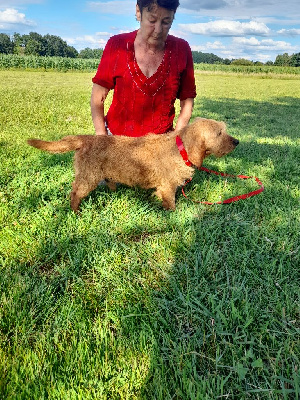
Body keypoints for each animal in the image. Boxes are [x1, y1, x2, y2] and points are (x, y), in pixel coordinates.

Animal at [28, 118, 239, 212]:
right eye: (219, 133)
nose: (237, 142)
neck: (180, 147)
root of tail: (84, 139)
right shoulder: (168, 187)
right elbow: (171, 203)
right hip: (88, 178)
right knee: (74, 193)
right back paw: (75, 210)